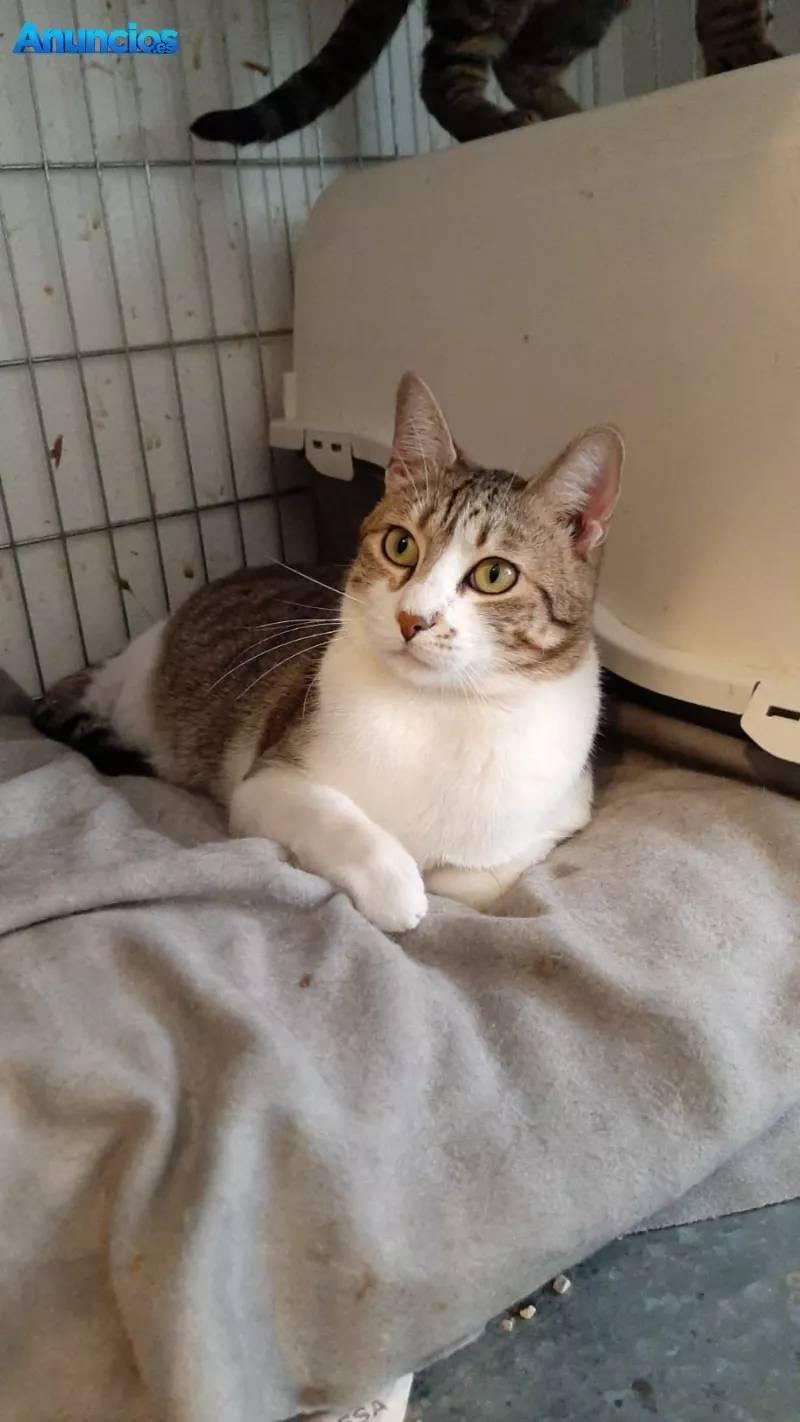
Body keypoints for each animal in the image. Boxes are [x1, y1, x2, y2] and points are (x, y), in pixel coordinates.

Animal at [33, 374, 623, 932]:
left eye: (495, 575)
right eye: (401, 545)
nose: (413, 619)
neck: (441, 709)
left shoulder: (566, 812)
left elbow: (476, 879)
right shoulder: (267, 780)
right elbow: (338, 820)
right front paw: (396, 885)